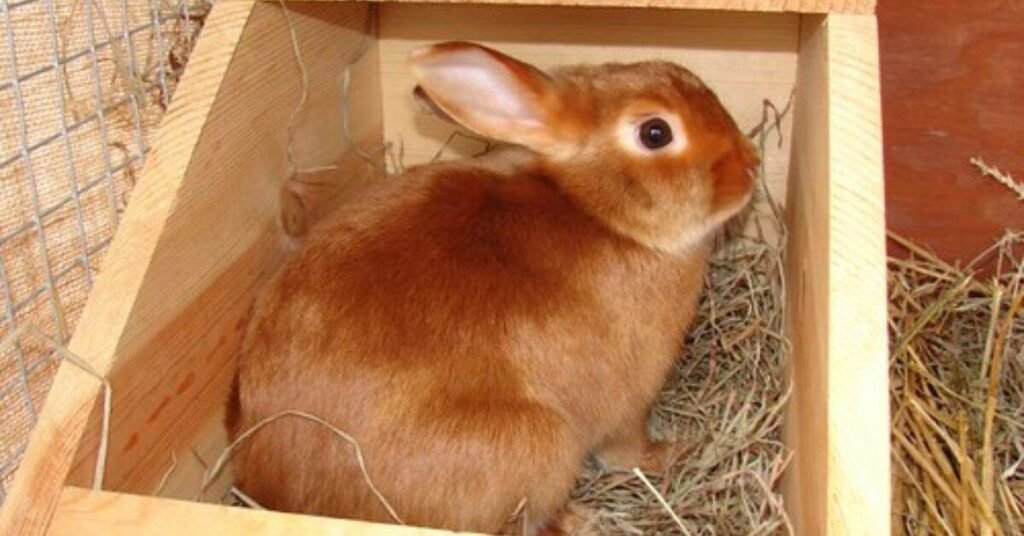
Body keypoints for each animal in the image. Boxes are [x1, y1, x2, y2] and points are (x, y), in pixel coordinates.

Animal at [226, 41, 758, 535]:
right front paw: (672, 452)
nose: (751, 165)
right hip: (539, 443)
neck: (599, 213)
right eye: (655, 133)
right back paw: (579, 519)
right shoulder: (628, 398)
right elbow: (626, 450)